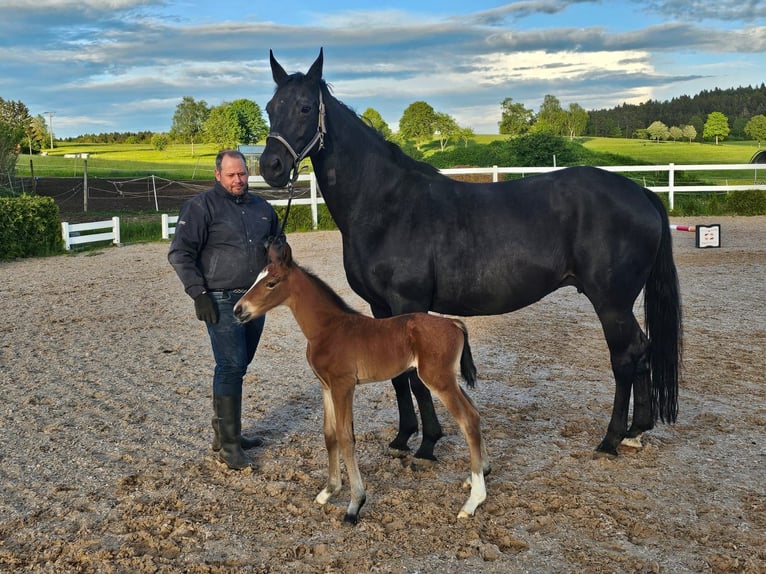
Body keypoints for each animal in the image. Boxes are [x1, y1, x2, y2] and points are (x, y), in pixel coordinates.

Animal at [260, 50, 684, 464]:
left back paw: (611, 439)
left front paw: (428, 444)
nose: (271, 167)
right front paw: (402, 438)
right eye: (269, 107)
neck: (386, 204)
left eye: (304, 107)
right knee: (642, 351)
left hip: (611, 302)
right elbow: (397, 375)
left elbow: (415, 378)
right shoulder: (381, 308)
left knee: (626, 357)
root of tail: (640, 192)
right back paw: (635, 433)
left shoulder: (408, 302)